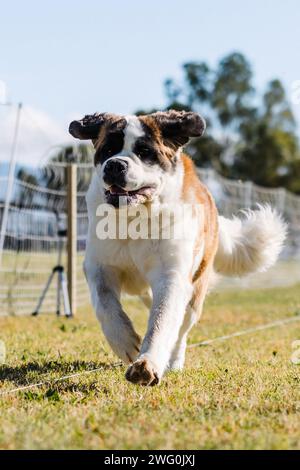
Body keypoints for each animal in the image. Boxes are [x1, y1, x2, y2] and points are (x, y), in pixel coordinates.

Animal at [69, 109, 288, 386]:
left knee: (181, 328)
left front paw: (147, 363)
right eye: (108, 149)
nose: (115, 165)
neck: (135, 218)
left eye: (145, 152)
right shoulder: (99, 267)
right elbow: (106, 305)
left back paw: (173, 362)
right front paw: (126, 342)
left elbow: (162, 322)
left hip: (195, 292)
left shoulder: (172, 277)